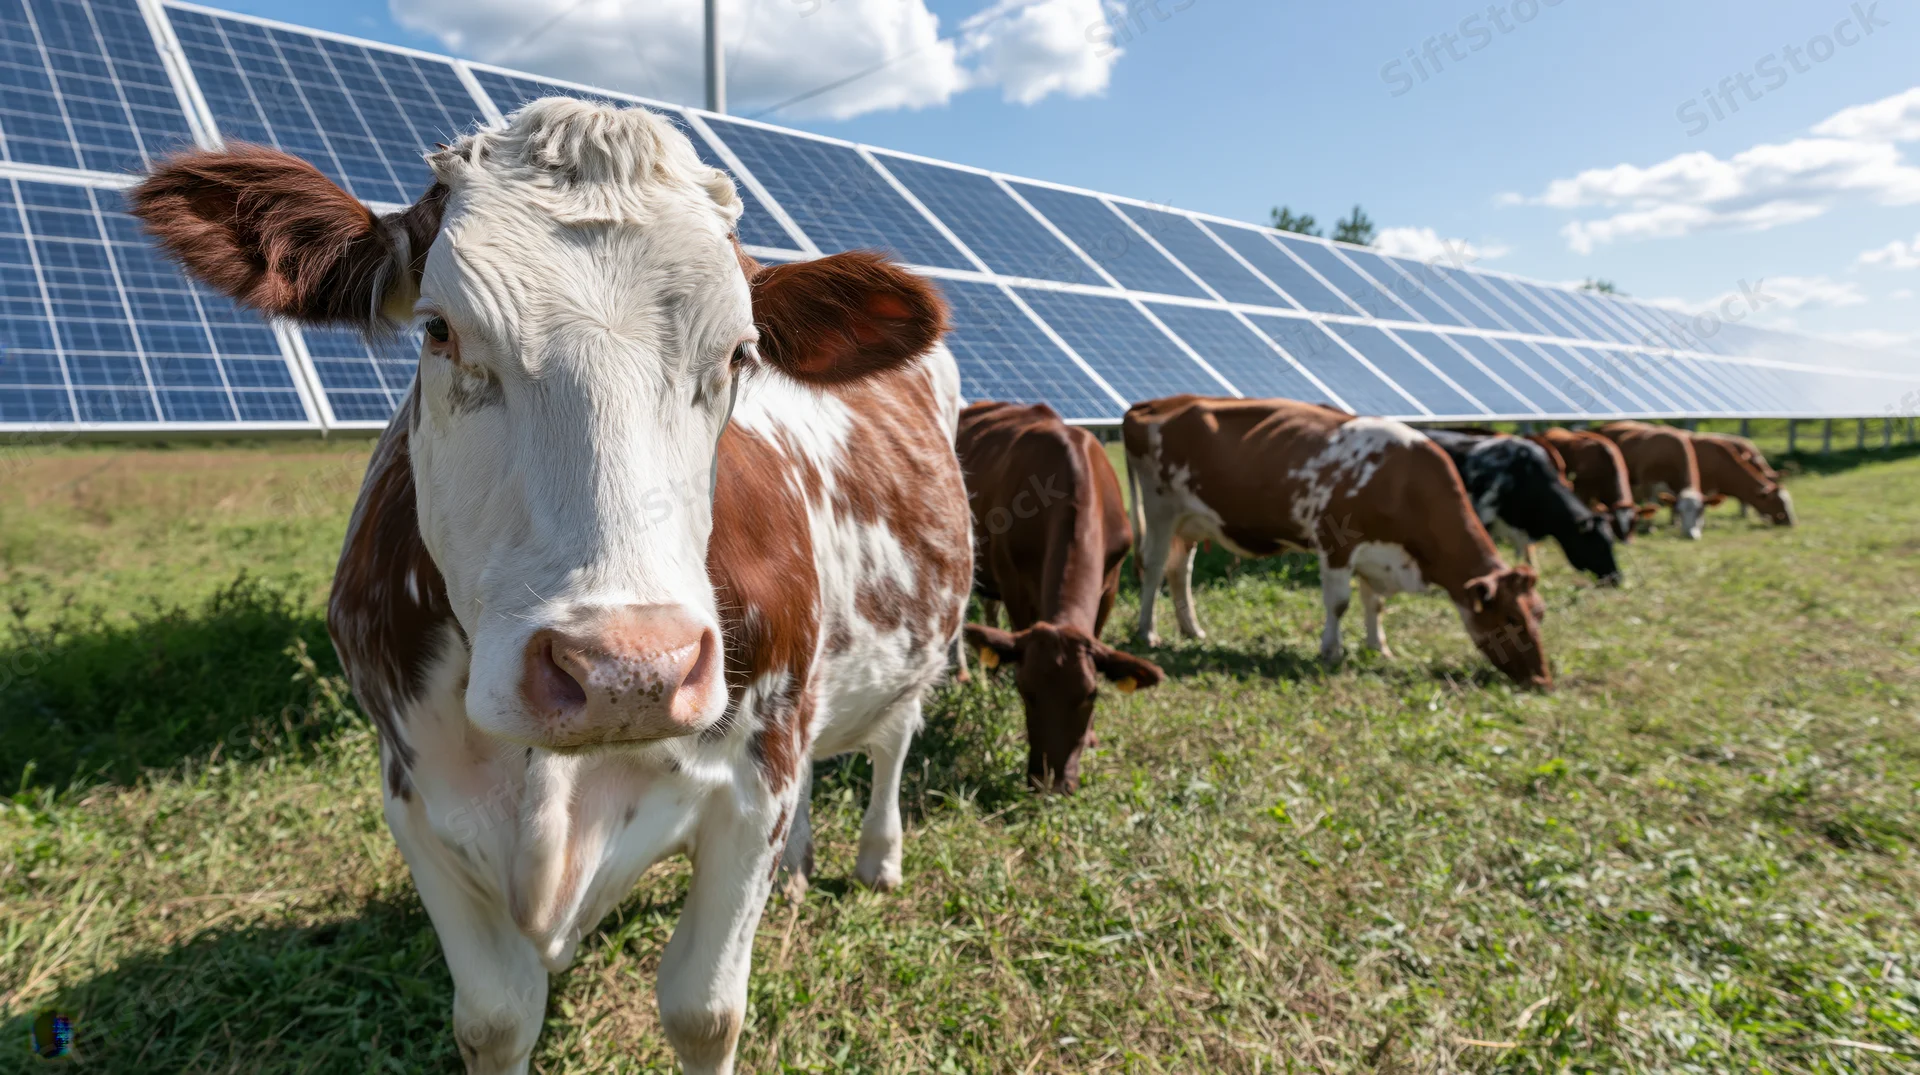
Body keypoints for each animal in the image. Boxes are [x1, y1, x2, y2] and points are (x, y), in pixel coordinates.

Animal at [129, 100, 973, 1075]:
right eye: (438, 329)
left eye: (739, 351)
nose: (625, 670)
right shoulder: (414, 793)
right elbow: (494, 1016)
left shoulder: (753, 776)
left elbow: (705, 1010)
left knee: (891, 741)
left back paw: (877, 856)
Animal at [954, 401, 1165, 793]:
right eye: (1026, 691)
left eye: (1091, 695)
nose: (1050, 783)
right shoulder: (1015, 586)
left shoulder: (1110, 585)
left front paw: (1093, 737)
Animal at [1123, 396, 1550, 688]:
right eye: (1511, 619)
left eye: (1540, 613)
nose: (1543, 680)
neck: (1404, 482)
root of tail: (1156, 403)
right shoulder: (1336, 543)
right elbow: (1340, 603)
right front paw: (1331, 650)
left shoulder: (1377, 553)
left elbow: (1375, 604)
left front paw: (1379, 647)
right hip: (1159, 509)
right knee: (1154, 568)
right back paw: (1148, 631)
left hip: (1191, 522)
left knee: (1181, 570)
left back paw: (1192, 630)